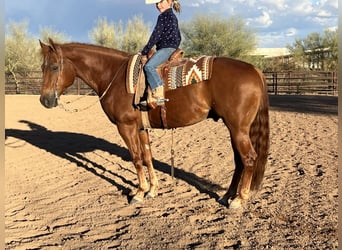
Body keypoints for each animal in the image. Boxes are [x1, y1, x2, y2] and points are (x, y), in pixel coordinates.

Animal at [40, 38, 270, 208]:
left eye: (54, 67)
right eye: (42, 67)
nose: (45, 100)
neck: (113, 74)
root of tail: (255, 69)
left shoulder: (125, 126)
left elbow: (136, 158)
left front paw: (139, 193)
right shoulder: (141, 127)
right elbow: (147, 157)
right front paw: (152, 190)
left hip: (238, 128)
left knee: (248, 158)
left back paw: (238, 199)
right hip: (234, 129)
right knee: (239, 160)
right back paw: (227, 196)